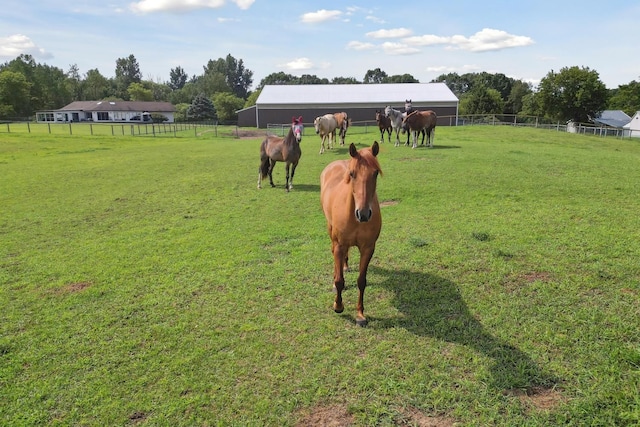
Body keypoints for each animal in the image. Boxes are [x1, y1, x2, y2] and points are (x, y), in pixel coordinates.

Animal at [318, 141, 380, 328]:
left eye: (375, 173)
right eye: (352, 174)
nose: (364, 214)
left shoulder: (368, 248)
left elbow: (361, 281)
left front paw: (360, 315)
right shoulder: (339, 245)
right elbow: (340, 281)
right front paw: (338, 306)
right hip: (331, 230)